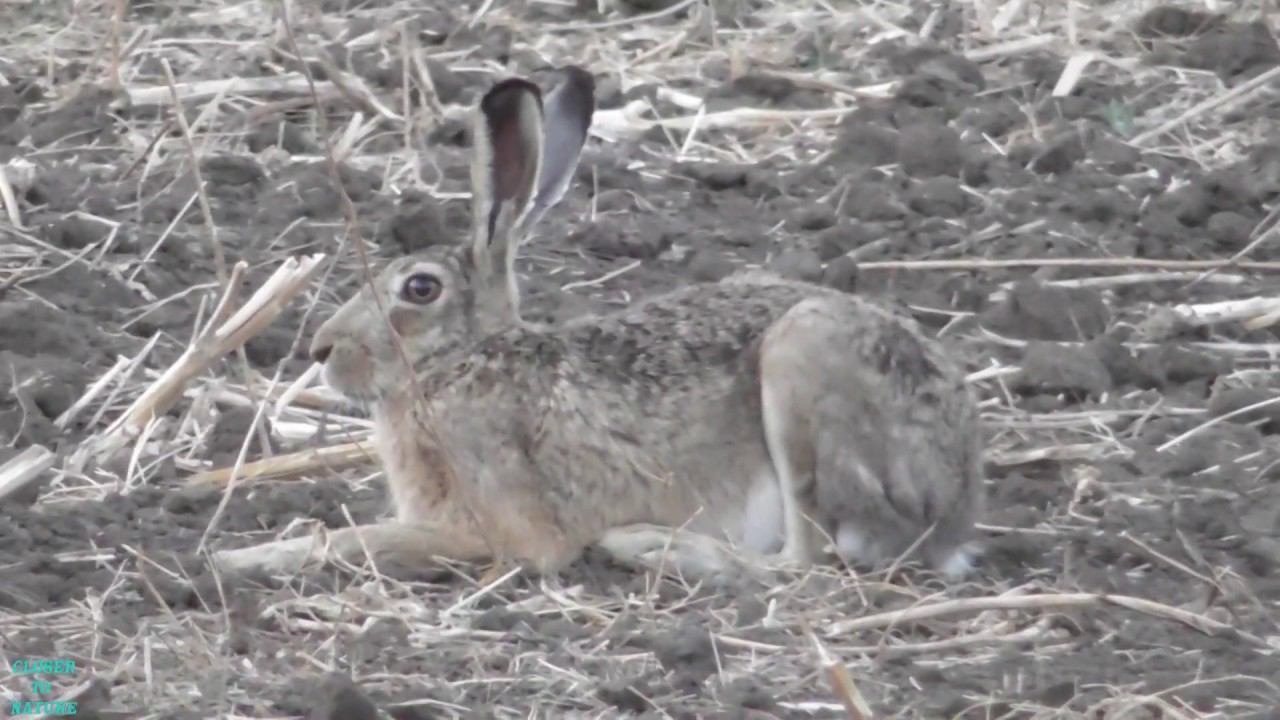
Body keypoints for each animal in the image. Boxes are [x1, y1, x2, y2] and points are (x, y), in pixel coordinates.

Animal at [213, 66, 985, 582]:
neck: (462, 360)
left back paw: (647, 545)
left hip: (802, 365)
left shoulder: (498, 527)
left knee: (807, 563)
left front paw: (239, 556)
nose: (321, 350)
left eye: (420, 289)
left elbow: (364, 540)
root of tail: (954, 500)